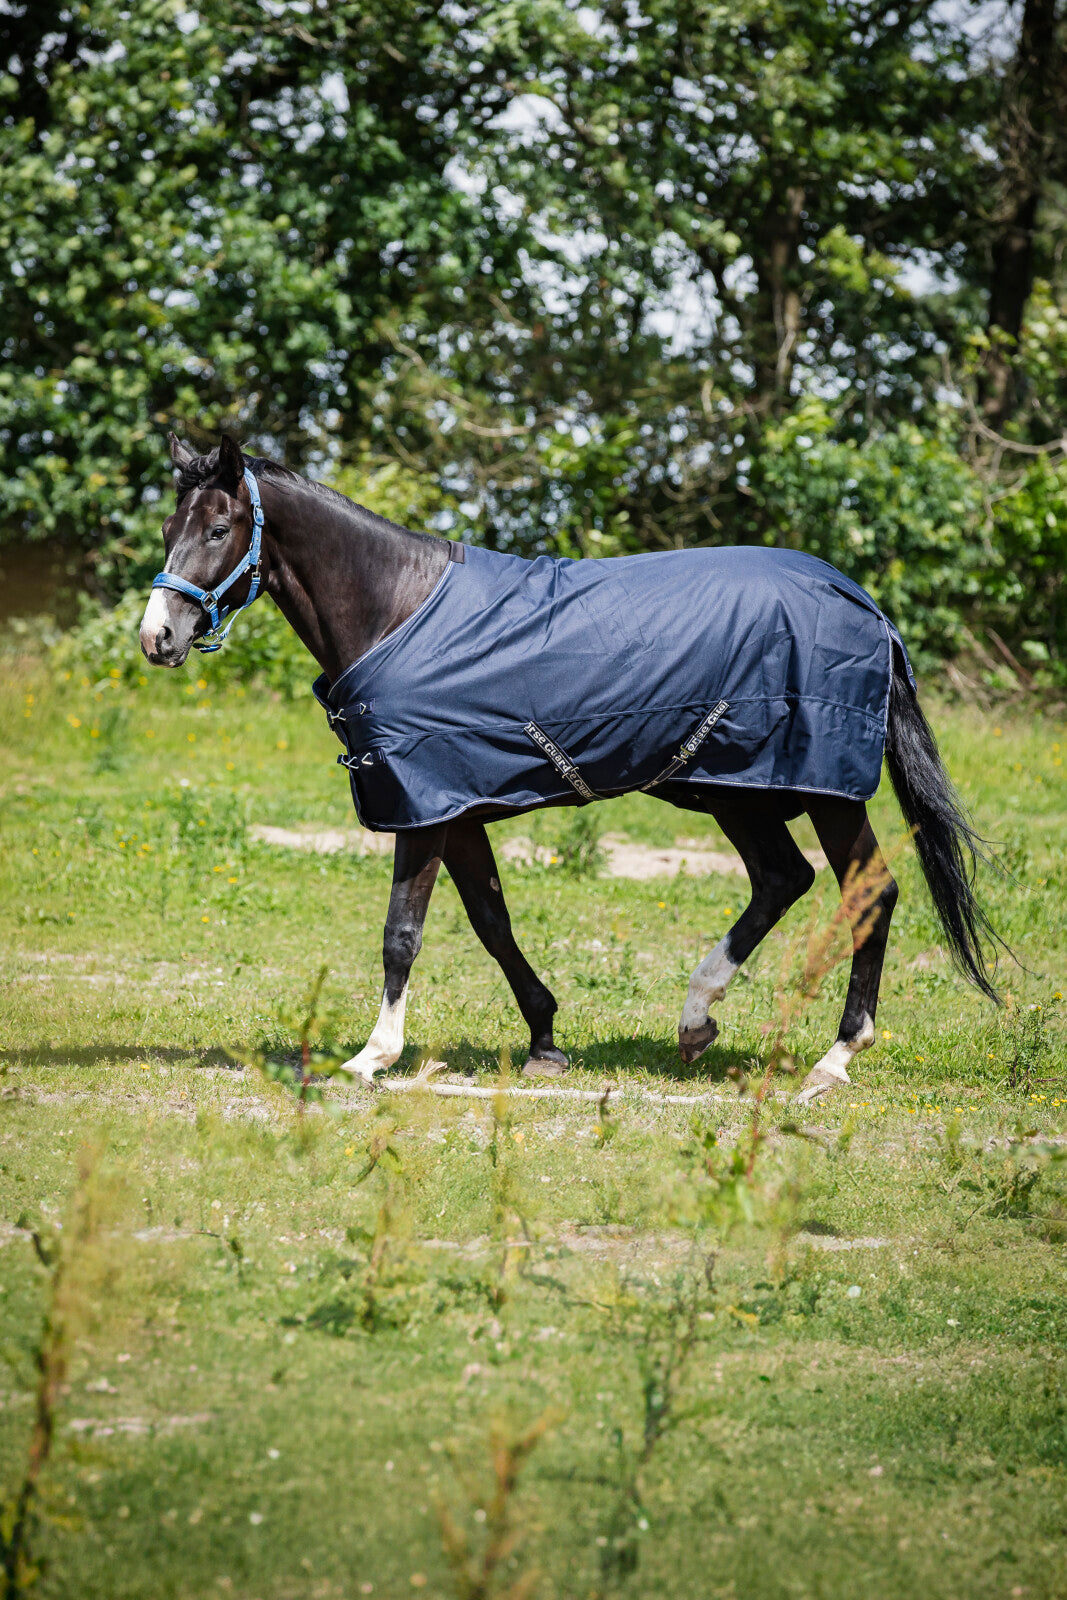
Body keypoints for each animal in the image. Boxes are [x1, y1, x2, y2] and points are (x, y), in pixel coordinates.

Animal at [139, 433, 1002, 1104]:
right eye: (169, 525)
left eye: (218, 527)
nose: (158, 636)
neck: (397, 610)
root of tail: (864, 605)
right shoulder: (456, 810)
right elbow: (491, 924)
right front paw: (545, 1038)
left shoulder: (422, 810)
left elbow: (400, 934)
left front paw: (370, 1057)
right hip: (736, 788)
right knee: (781, 879)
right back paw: (696, 1020)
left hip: (820, 790)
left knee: (870, 892)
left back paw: (834, 1057)